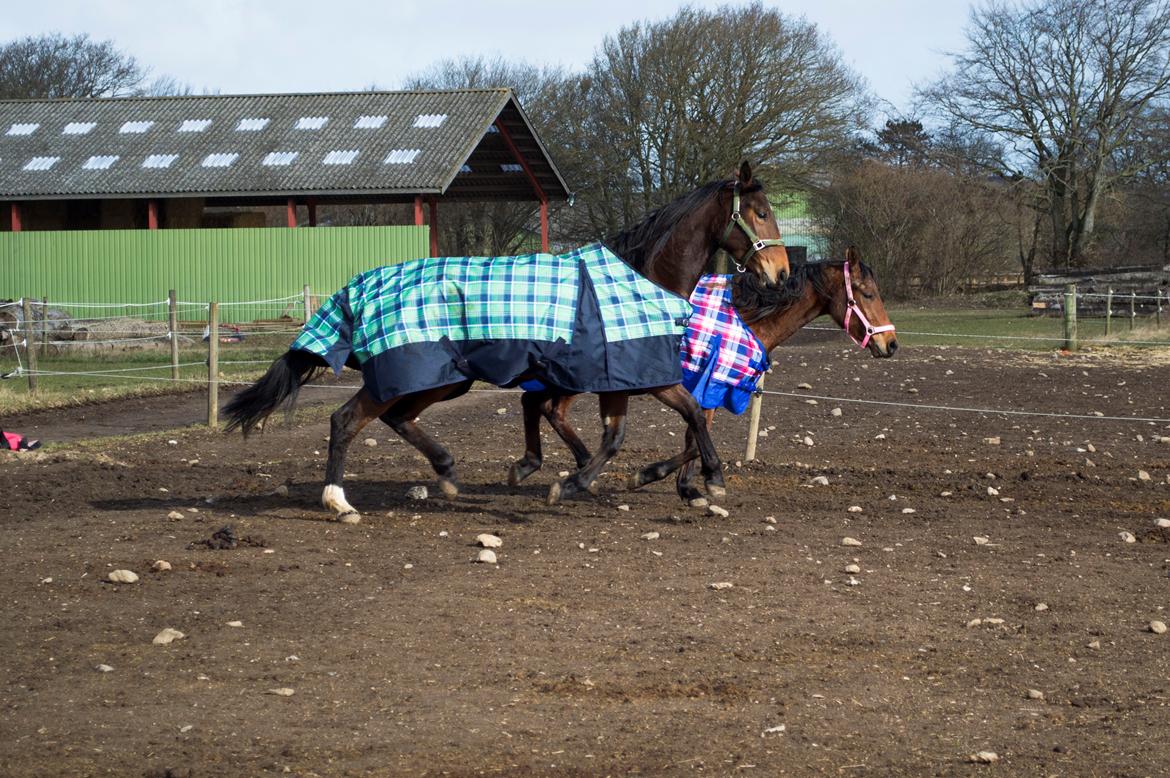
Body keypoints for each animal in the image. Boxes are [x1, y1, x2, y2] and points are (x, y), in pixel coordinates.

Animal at [223, 160, 790, 519]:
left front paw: (585, 480)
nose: (781, 271)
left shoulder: (621, 379)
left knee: (396, 418)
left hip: (441, 380)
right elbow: (677, 418)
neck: (642, 277)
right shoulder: (632, 375)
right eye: (760, 212)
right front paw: (707, 480)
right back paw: (338, 502)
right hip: (416, 372)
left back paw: (446, 472)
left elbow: (631, 431)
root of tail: (357, 287)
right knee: (347, 420)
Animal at [507, 246, 898, 503]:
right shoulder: (709, 387)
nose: (891, 343)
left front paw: (685, 486)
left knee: (538, 404)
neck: (747, 318)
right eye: (867, 293)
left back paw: (554, 467)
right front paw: (665, 479)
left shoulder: (704, 392)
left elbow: (694, 438)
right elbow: (696, 439)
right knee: (544, 406)